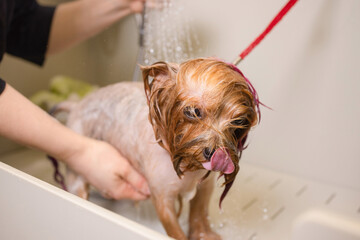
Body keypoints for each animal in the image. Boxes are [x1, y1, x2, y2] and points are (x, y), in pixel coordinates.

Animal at [61, 58, 258, 240]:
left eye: (239, 121)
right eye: (193, 112)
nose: (215, 154)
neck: (183, 160)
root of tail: (77, 105)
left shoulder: (204, 187)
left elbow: (198, 214)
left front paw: (204, 234)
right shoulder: (164, 199)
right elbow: (175, 231)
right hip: (78, 172)